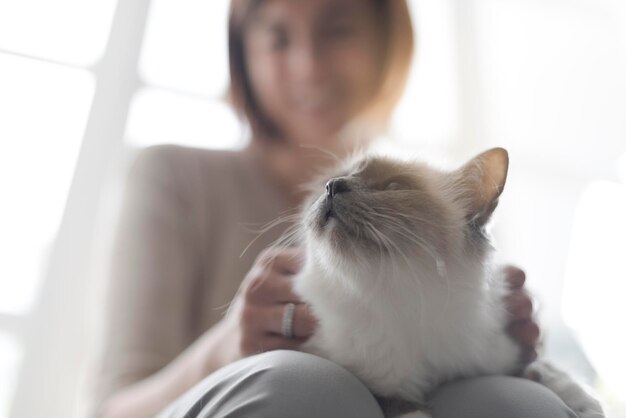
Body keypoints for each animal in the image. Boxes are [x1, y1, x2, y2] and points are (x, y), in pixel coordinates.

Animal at [290, 148, 604, 418]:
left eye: (393, 186)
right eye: (336, 179)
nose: (332, 185)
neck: (401, 304)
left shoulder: (497, 356)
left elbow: (545, 369)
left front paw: (586, 405)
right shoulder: (361, 376)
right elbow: (401, 405)